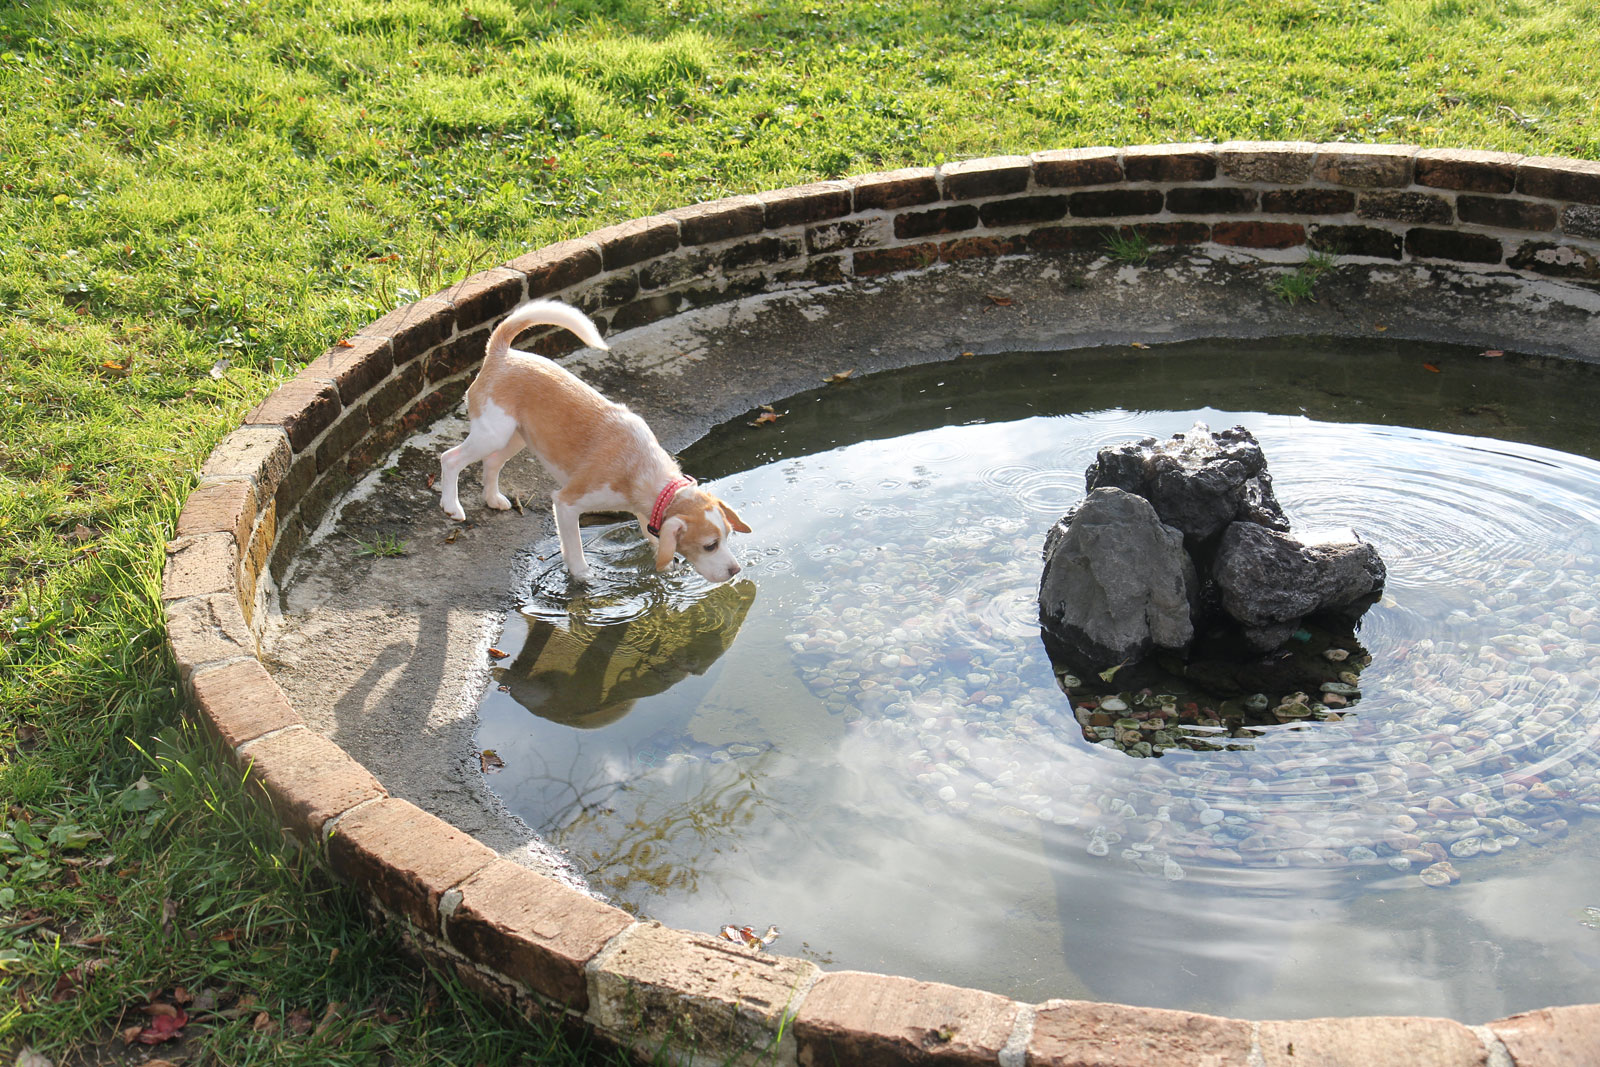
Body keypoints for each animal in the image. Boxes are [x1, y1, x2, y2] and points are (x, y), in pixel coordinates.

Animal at [438, 300, 748, 585]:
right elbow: (574, 548)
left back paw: (492, 499)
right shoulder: (566, 504)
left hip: (515, 437)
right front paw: (584, 577)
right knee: (450, 458)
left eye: (728, 536)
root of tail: (501, 352)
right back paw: (452, 506)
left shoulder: (645, 513)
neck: (642, 466)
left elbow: (654, 540)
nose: (736, 571)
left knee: (492, 462)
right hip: (492, 434)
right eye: (710, 546)